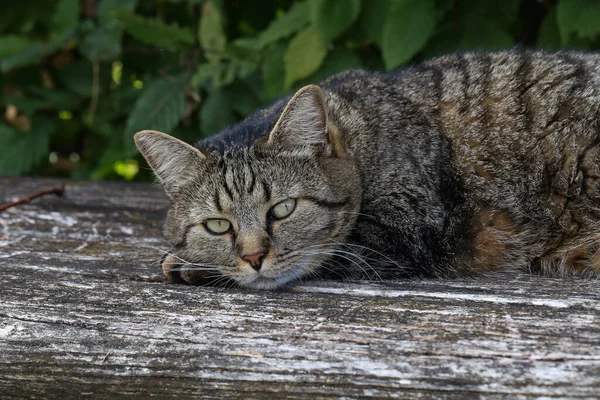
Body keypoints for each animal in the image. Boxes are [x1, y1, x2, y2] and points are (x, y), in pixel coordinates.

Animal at [134, 48, 600, 290]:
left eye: (283, 209)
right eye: (218, 225)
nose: (253, 257)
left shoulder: (404, 229)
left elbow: (329, 254)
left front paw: (187, 263)